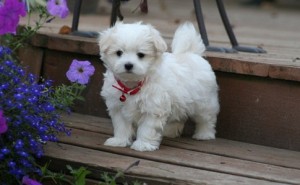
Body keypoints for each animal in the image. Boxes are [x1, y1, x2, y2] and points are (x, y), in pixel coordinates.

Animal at [99, 22, 219, 152]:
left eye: (141, 55)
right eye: (119, 53)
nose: (128, 65)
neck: (132, 86)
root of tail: (192, 53)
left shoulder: (153, 108)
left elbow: (147, 128)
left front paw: (143, 144)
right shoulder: (118, 108)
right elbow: (121, 126)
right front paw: (119, 141)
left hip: (204, 102)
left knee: (207, 119)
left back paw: (204, 134)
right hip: (181, 102)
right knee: (179, 117)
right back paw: (170, 132)